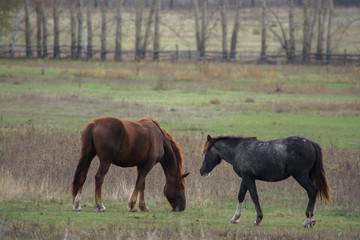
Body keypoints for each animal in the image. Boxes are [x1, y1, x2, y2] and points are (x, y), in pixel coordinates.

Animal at [200, 135, 332, 227]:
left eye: (205, 153)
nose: (202, 171)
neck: (238, 150)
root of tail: (311, 143)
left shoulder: (248, 178)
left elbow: (254, 196)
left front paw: (258, 219)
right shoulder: (246, 178)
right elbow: (241, 195)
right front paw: (235, 218)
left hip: (301, 176)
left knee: (312, 191)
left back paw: (307, 220)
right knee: (313, 193)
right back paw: (311, 220)